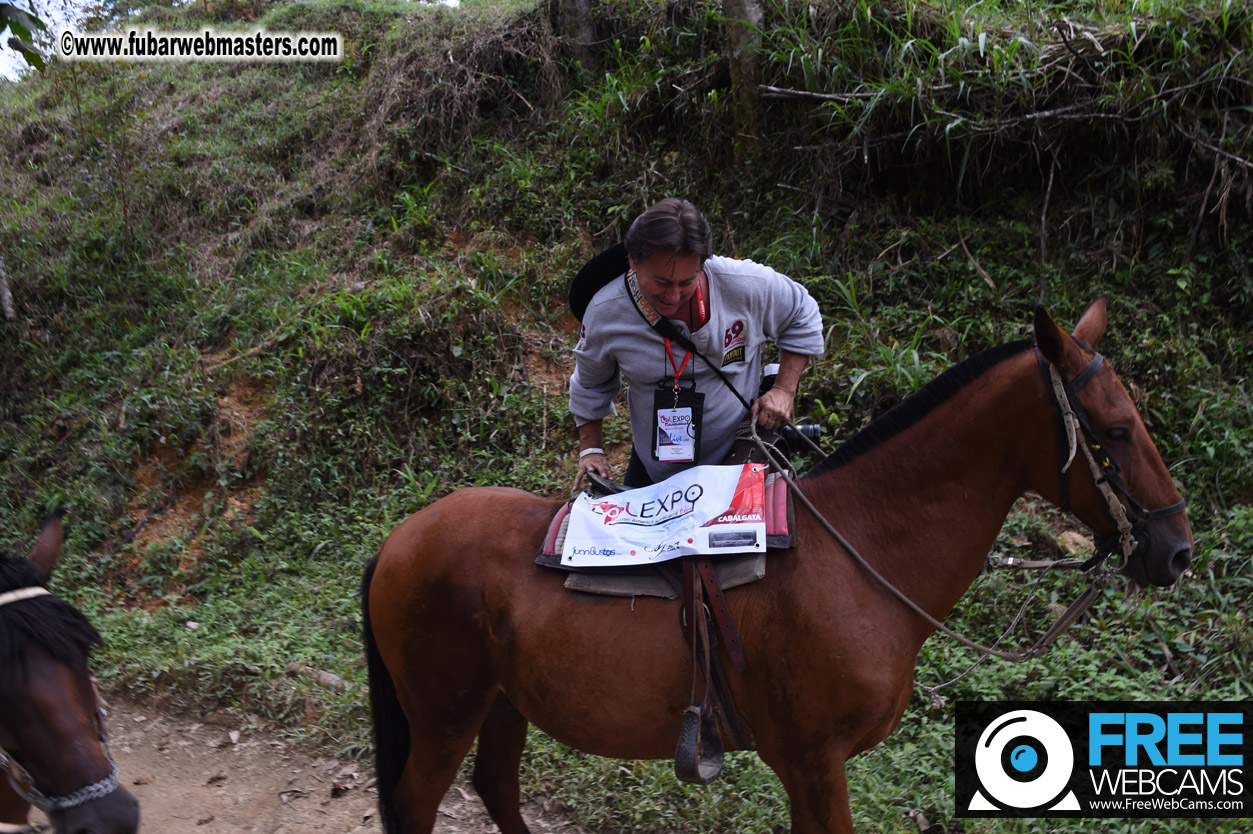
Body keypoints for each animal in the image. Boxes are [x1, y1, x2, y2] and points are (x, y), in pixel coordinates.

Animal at [360, 300, 1192, 831]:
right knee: (417, 802)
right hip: (443, 712)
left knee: (496, 790)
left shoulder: (809, 767)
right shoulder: (815, 761)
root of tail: (400, 539)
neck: (859, 553)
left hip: (501, 703)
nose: (1175, 547)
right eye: (1115, 431)